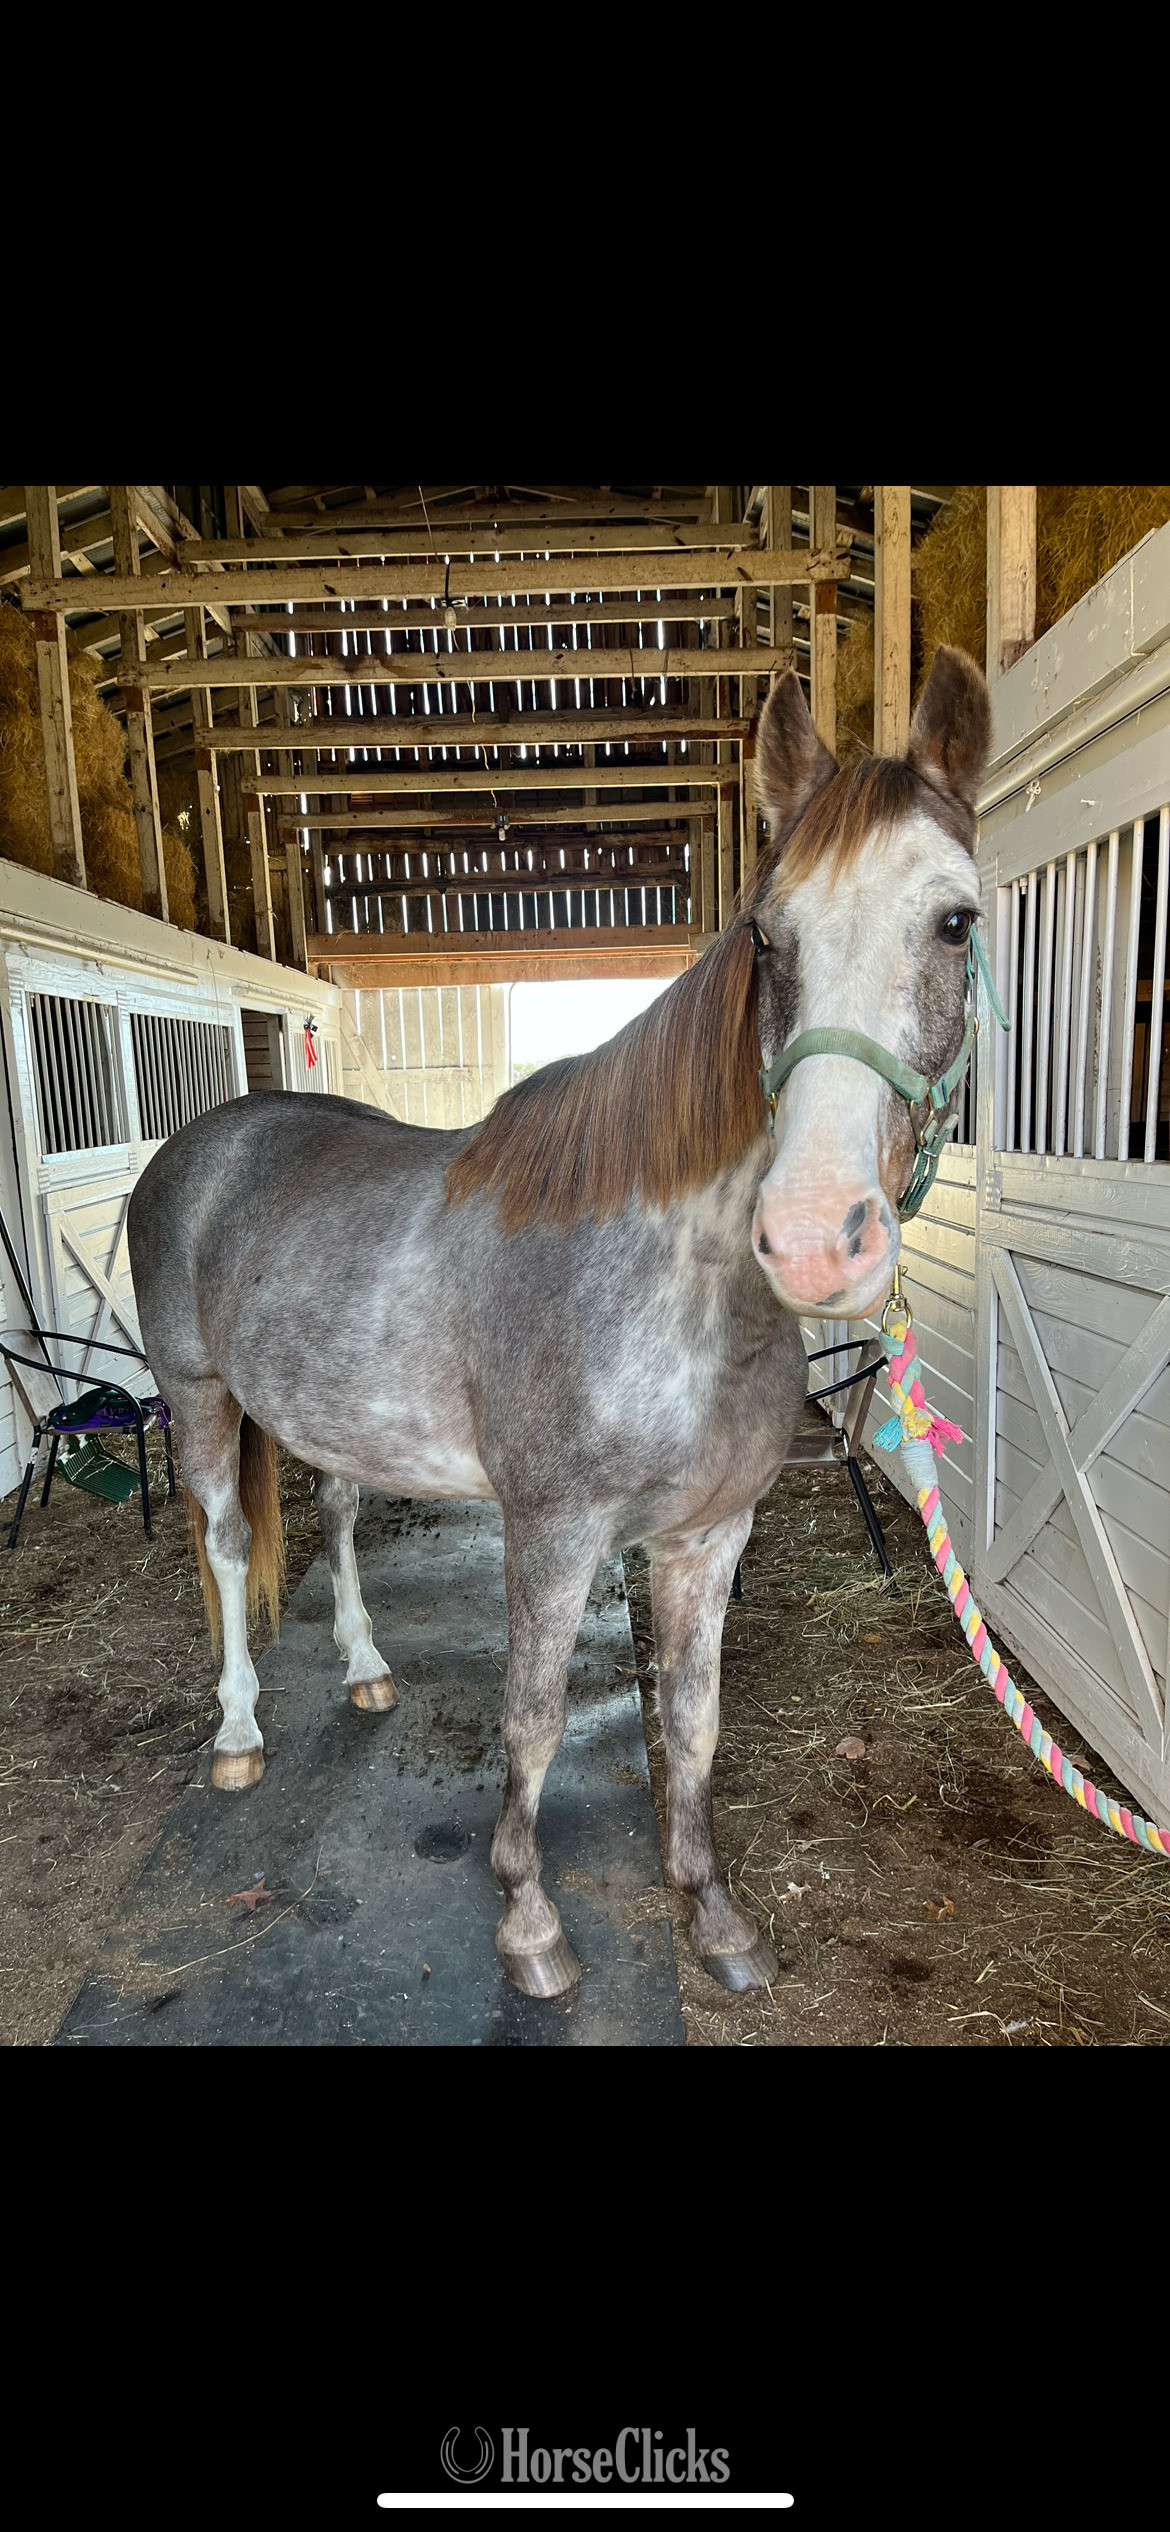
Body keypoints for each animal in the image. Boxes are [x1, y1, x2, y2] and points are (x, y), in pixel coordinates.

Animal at [126, 645, 992, 2000]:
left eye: (956, 921)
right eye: (768, 934)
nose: (813, 1236)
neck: (678, 1290)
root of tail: (205, 1143)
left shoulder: (709, 1538)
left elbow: (693, 1721)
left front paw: (716, 1916)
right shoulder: (552, 1532)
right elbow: (530, 1718)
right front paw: (529, 1922)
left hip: (331, 1418)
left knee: (339, 1513)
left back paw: (367, 1671)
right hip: (200, 1397)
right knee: (221, 1545)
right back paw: (237, 1732)